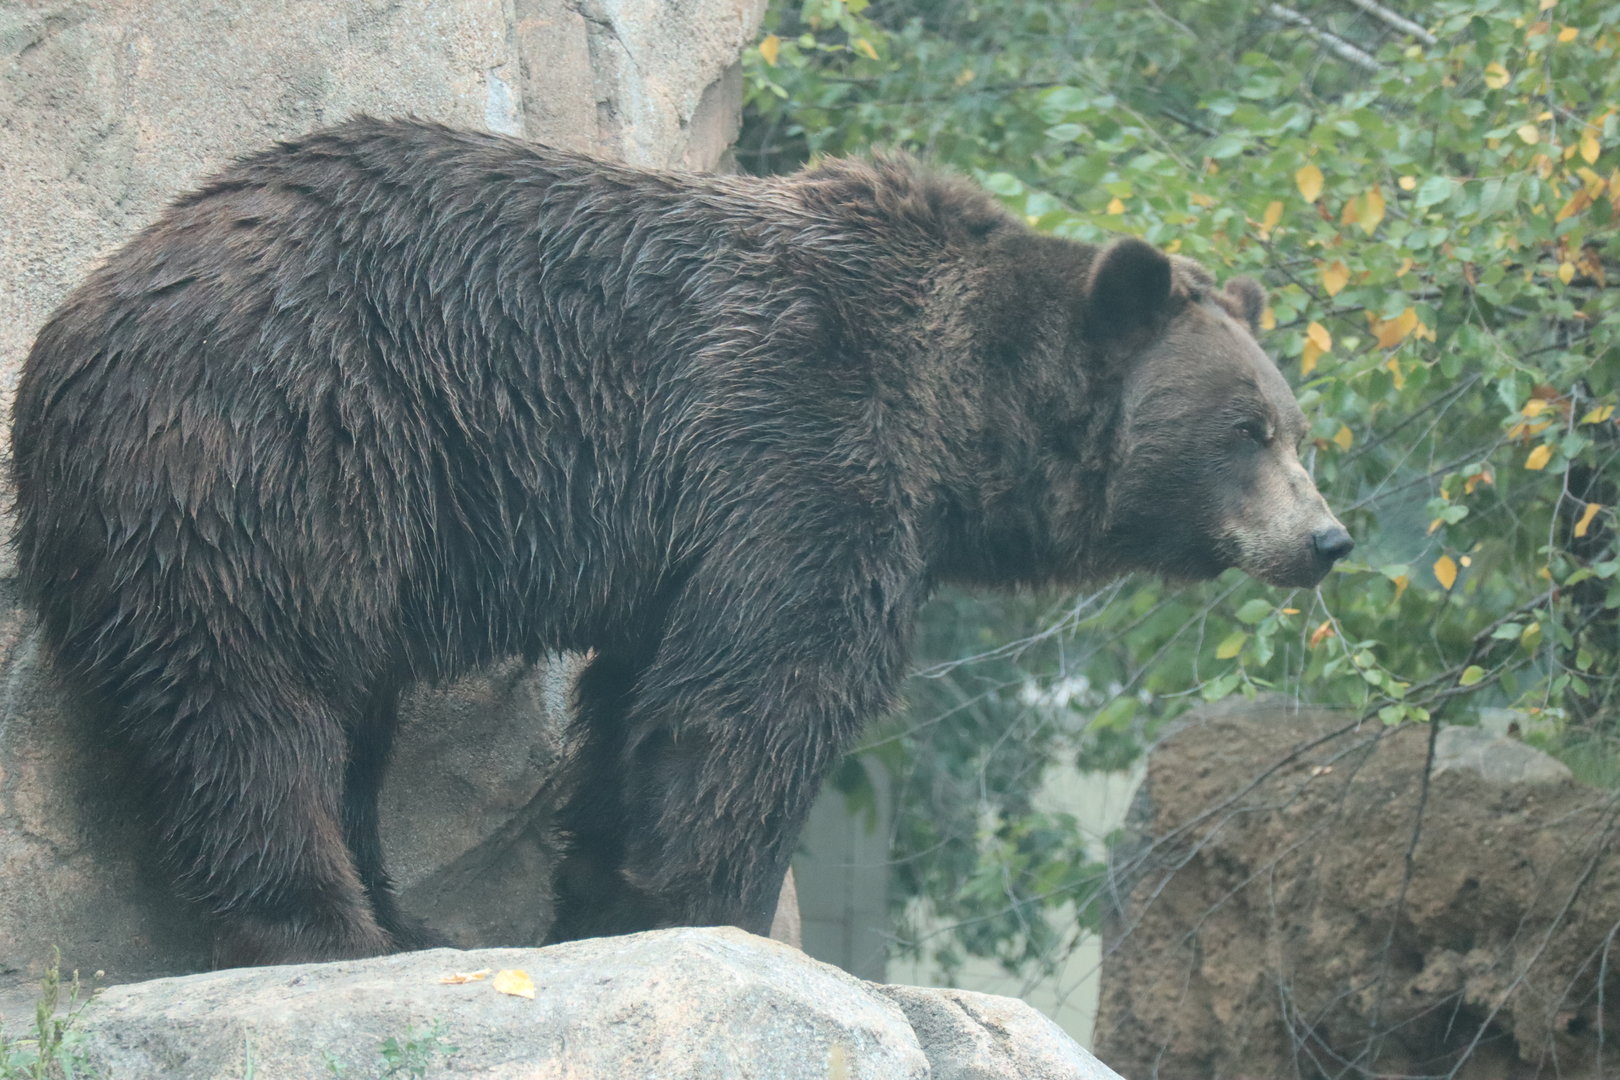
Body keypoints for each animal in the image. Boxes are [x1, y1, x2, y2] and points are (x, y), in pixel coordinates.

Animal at [10, 117, 1352, 967]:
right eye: (1246, 430)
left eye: (1295, 428)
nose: (1326, 538)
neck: (960, 413)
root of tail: (75, 321)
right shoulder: (800, 434)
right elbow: (762, 684)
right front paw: (713, 904)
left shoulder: (693, 526)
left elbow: (646, 696)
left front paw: (603, 896)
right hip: (276, 445)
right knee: (260, 693)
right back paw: (325, 925)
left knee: (342, 712)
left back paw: (404, 920)